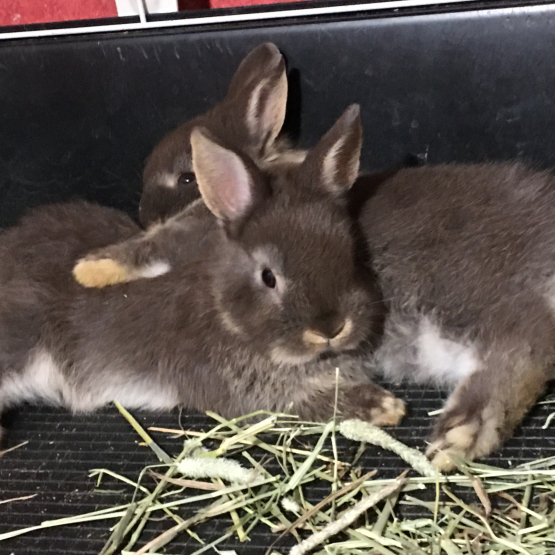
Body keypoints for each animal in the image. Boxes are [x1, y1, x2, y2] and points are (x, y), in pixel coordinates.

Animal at [0, 105, 406, 444]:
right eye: (268, 277)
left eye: (351, 253)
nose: (330, 328)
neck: (224, 312)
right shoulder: (249, 394)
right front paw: (386, 407)